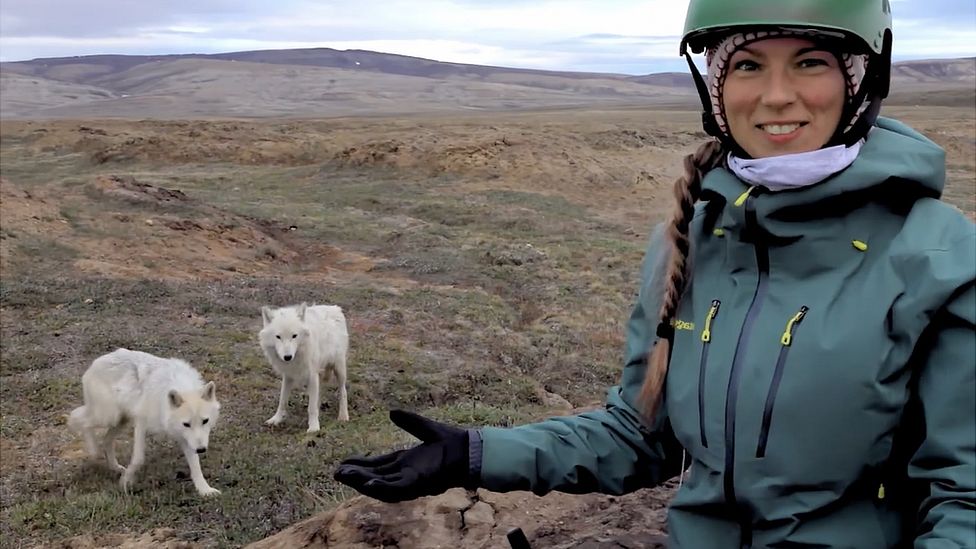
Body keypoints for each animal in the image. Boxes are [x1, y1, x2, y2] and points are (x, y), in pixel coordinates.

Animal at [67, 352, 222, 496]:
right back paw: (94, 452)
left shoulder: (185, 438)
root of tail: (96, 362)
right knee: (77, 417)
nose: (201, 449)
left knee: (106, 440)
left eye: (205, 421)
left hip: (121, 421)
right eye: (186, 424)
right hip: (109, 416)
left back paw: (116, 467)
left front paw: (205, 490)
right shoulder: (141, 423)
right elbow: (138, 459)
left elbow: (196, 466)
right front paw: (126, 482)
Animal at [260, 300, 350, 432]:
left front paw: (313, 427)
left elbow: (311, 408)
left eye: (294, 336)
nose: (287, 357)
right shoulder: (288, 375)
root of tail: (335, 308)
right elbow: (282, 401)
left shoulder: (312, 375)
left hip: (339, 369)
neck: (298, 353)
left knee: (343, 391)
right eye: (278, 337)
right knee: (319, 392)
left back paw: (343, 416)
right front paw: (276, 419)